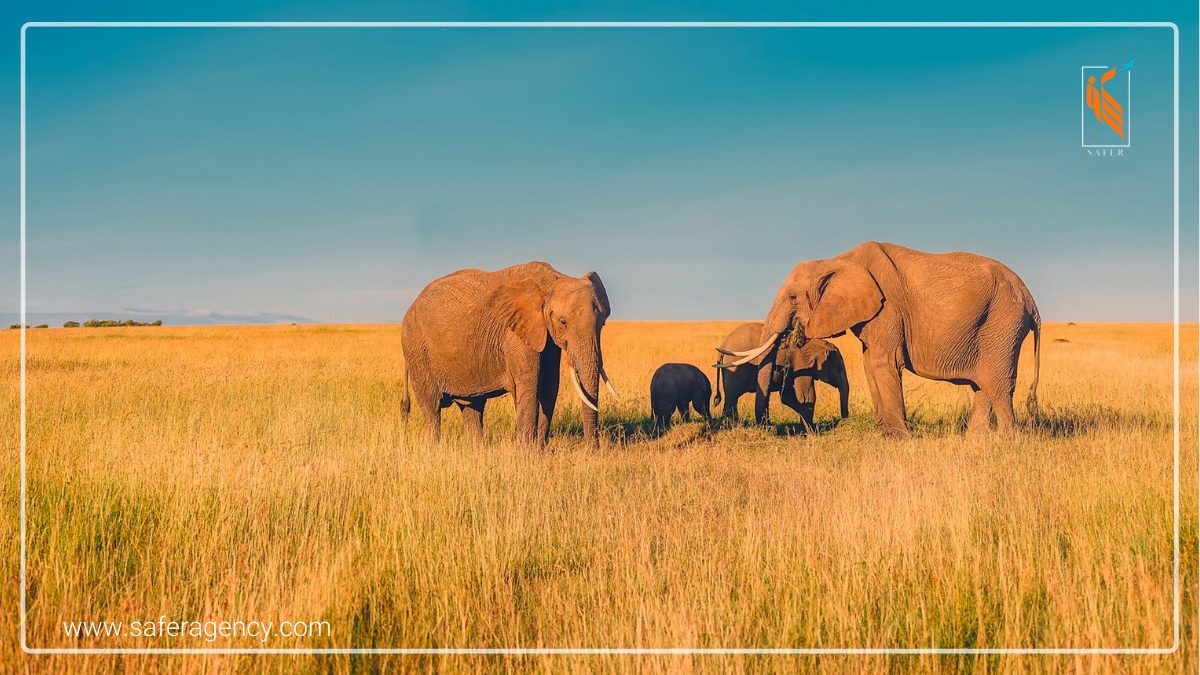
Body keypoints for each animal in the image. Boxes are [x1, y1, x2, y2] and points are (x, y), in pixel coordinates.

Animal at [400, 261, 614, 446]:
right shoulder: (515, 335)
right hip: (416, 347)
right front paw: (527, 453)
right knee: (432, 408)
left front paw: (539, 451)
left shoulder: (545, 335)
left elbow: (550, 386)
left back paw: (479, 451)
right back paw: (434, 449)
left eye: (603, 323)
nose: (592, 450)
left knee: (472, 408)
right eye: (563, 322)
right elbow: (530, 386)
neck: (553, 279)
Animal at [715, 319, 849, 425]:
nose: (844, 419)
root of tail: (723, 345)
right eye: (839, 369)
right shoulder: (802, 363)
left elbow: (787, 396)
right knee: (732, 396)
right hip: (736, 368)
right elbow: (806, 396)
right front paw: (811, 431)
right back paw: (731, 426)